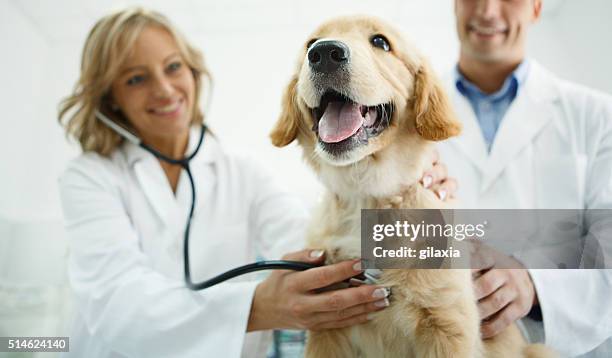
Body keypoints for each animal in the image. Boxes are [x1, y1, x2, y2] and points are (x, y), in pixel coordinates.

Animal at [270, 14, 556, 358]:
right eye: (310, 44)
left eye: (380, 42)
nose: (324, 53)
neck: (367, 195)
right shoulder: (327, 329)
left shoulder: (447, 328)